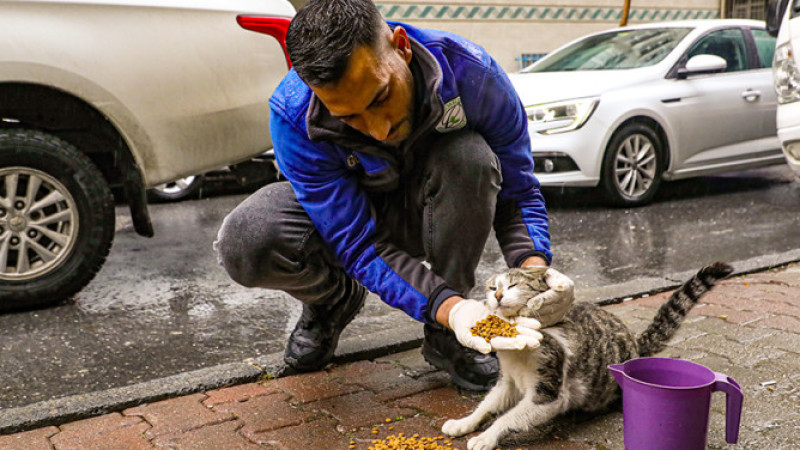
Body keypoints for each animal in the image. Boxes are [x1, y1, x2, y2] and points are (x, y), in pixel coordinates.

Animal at [440, 260, 736, 450]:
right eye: (492, 288)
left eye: (513, 286)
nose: (499, 295)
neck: (519, 356)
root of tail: (633, 341)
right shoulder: (508, 381)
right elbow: (487, 405)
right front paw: (464, 423)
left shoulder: (548, 394)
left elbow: (508, 417)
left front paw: (487, 436)